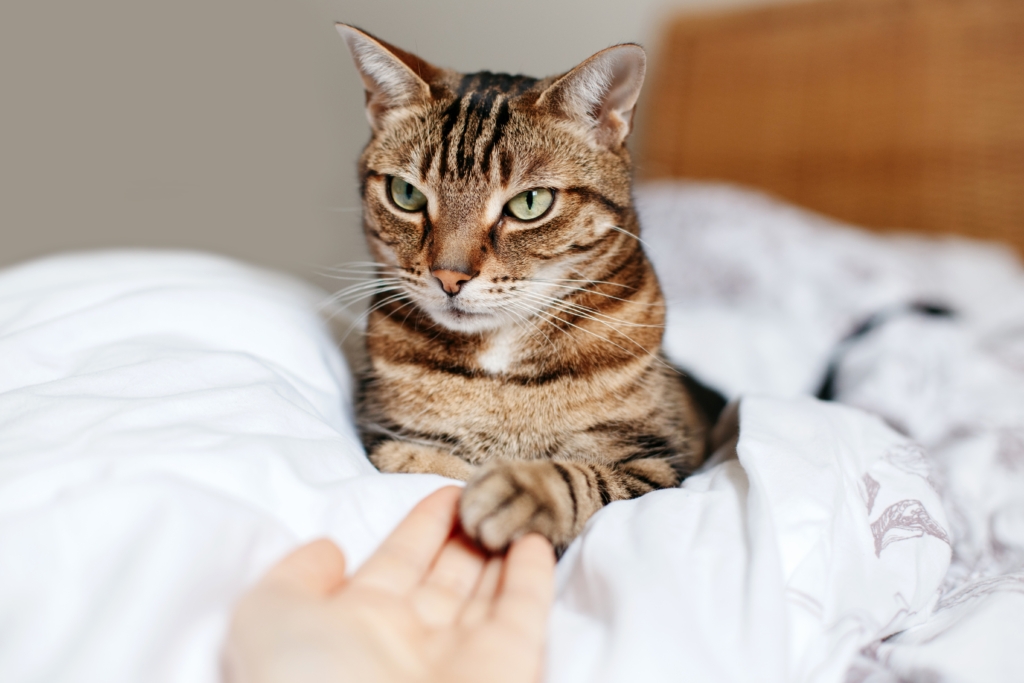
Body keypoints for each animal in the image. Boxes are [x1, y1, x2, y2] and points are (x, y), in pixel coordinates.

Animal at [339, 24, 716, 552]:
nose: (449, 276)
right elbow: (416, 460)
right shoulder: (384, 432)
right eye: (406, 194)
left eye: (530, 203)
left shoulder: (661, 465)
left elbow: (587, 479)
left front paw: (519, 488)